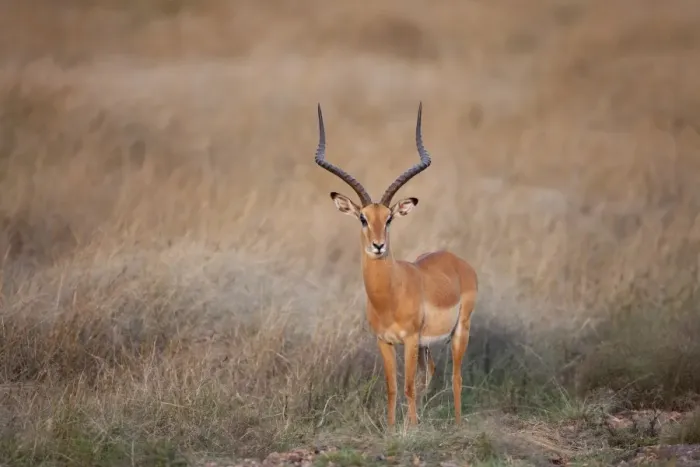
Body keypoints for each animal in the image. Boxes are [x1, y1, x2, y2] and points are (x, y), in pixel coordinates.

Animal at [313, 103, 478, 427]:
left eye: (389, 218)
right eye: (363, 218)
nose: (378, 245)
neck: (389, 295)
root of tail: (457, 261)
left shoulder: (411, 340)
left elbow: (408, 386)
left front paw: (411, 429)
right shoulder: (384, 342)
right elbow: (392, 387)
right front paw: (392, 429)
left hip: (459, 332)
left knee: (455, 377)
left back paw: (456, 424)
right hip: (428, 344)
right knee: (433, 372)